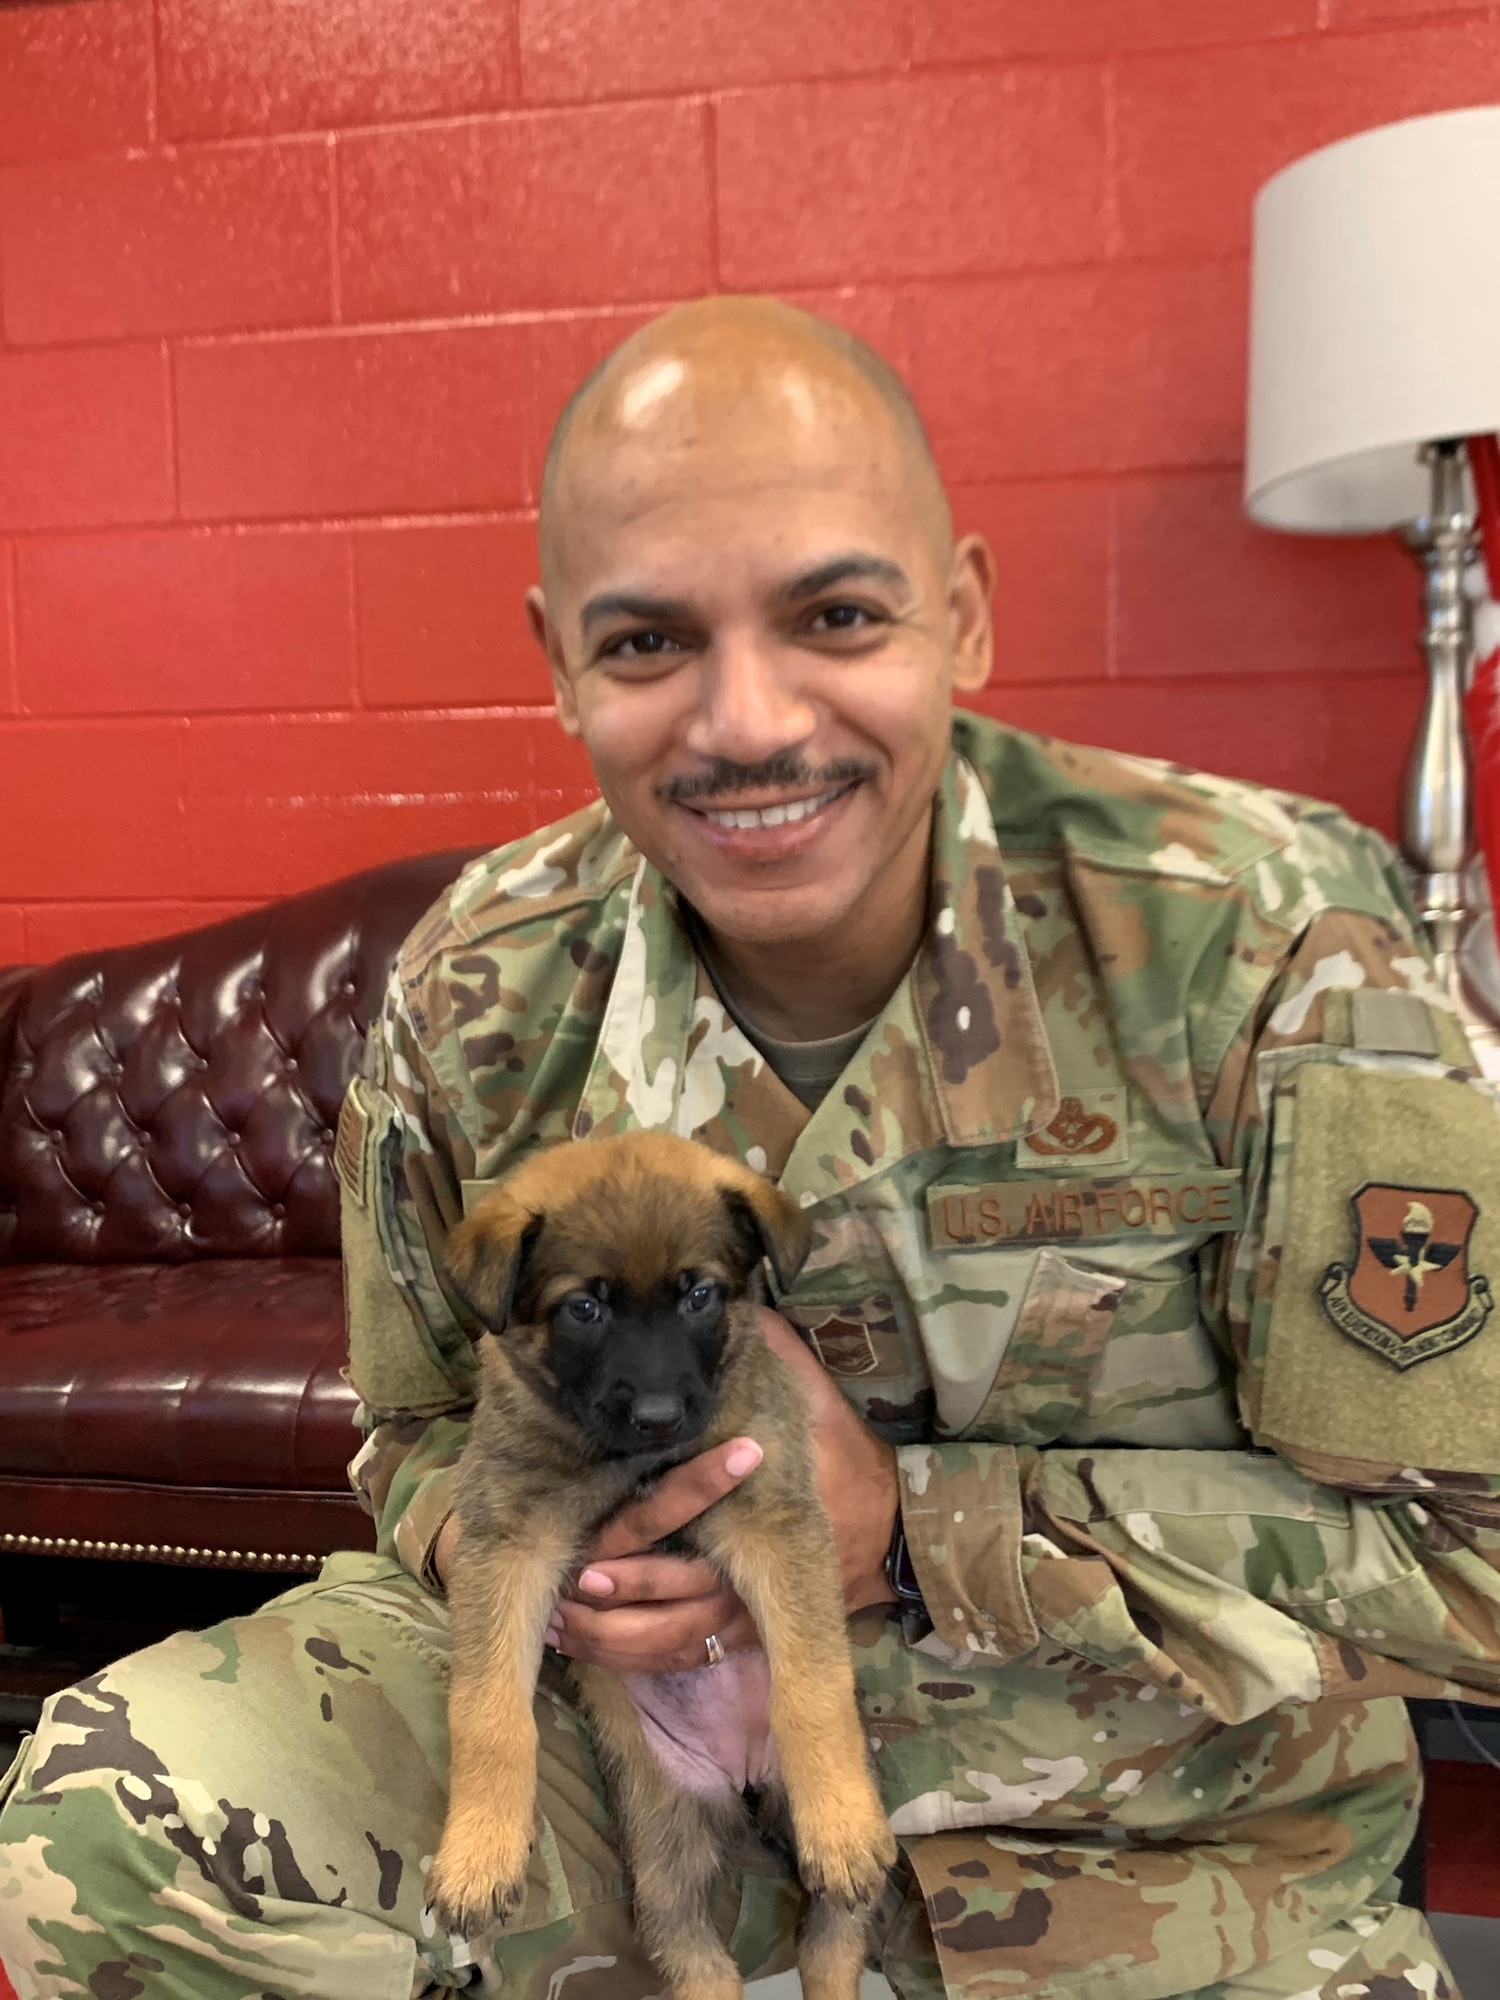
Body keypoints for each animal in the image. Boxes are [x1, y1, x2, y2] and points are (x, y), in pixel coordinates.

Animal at [424, 1136, 900, 1992]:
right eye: (585, 1308)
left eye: (699, 1296)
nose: (658, 1416)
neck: (635, 1463)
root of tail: (742, 1778)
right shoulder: (503, 1545)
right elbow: (486, 1710)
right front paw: (478, 1851)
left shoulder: (776, 1519)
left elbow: (812, 1686)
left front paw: (841, 1819)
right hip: (662, 1838)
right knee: (692, 1950)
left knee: (833, 1937)